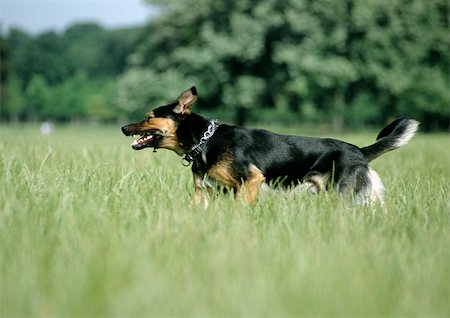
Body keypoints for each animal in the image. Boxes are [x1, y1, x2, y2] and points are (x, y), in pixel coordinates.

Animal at [120, 87, 418, 206]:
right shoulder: (204, 191)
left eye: (149, 117)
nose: (123, 128)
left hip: (343, 195)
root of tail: (360, 151)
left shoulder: (252, 180)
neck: (205, 141)